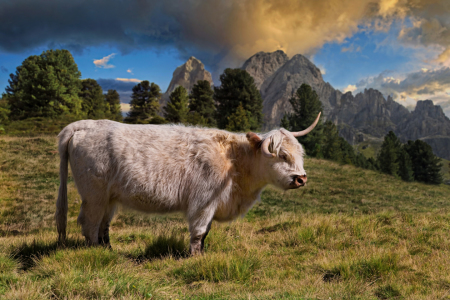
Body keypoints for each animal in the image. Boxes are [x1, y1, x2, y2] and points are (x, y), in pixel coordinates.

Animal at [55, 113, 320, 254]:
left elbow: (206, 233)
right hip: (94, 196)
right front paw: (195, 256)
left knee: (103, 225)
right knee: (90, 224)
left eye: (299, 153)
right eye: (281, 155)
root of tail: (84, 124)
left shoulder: (212, 205)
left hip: (109, 198)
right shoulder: (202, 203)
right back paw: (96, 253)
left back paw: (108, 250)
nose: (301, 178)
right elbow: (199, 231)